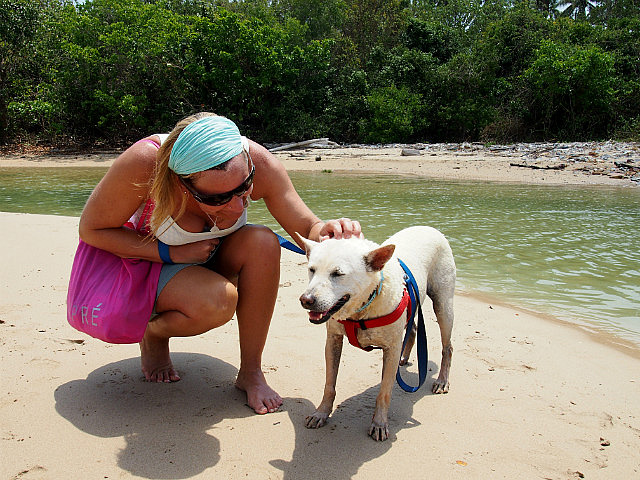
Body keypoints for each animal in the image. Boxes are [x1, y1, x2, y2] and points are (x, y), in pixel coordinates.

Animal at [294, 226, 455, 441]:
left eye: (338, 273)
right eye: (311, 269)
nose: (306, 300)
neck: (360, 311)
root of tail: (429, 228)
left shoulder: (391, 349)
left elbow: (384, 392)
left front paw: (379, 423)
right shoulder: (333, 340)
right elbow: (329, 383)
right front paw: (321, 413)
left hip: (443, 303)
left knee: (448, 345)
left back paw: (442, 381)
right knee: (412, 328)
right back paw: (405, 358)